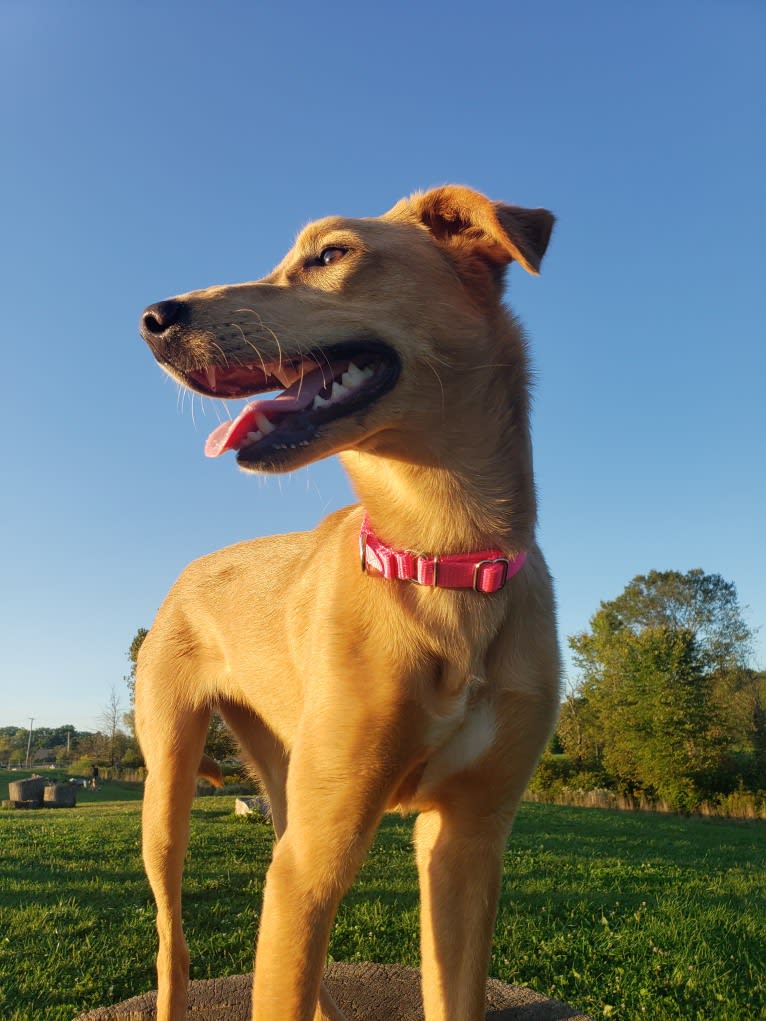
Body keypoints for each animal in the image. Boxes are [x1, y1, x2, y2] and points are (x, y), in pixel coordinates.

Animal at [136, 185, 559, 1021]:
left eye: (330, 254)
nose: (154, 318)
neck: (439, 560)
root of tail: (191, 568)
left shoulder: (466, 839)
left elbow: (451, 992)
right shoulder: (322, 849)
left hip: (283, 784)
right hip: (168, 788)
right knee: (175, 943)